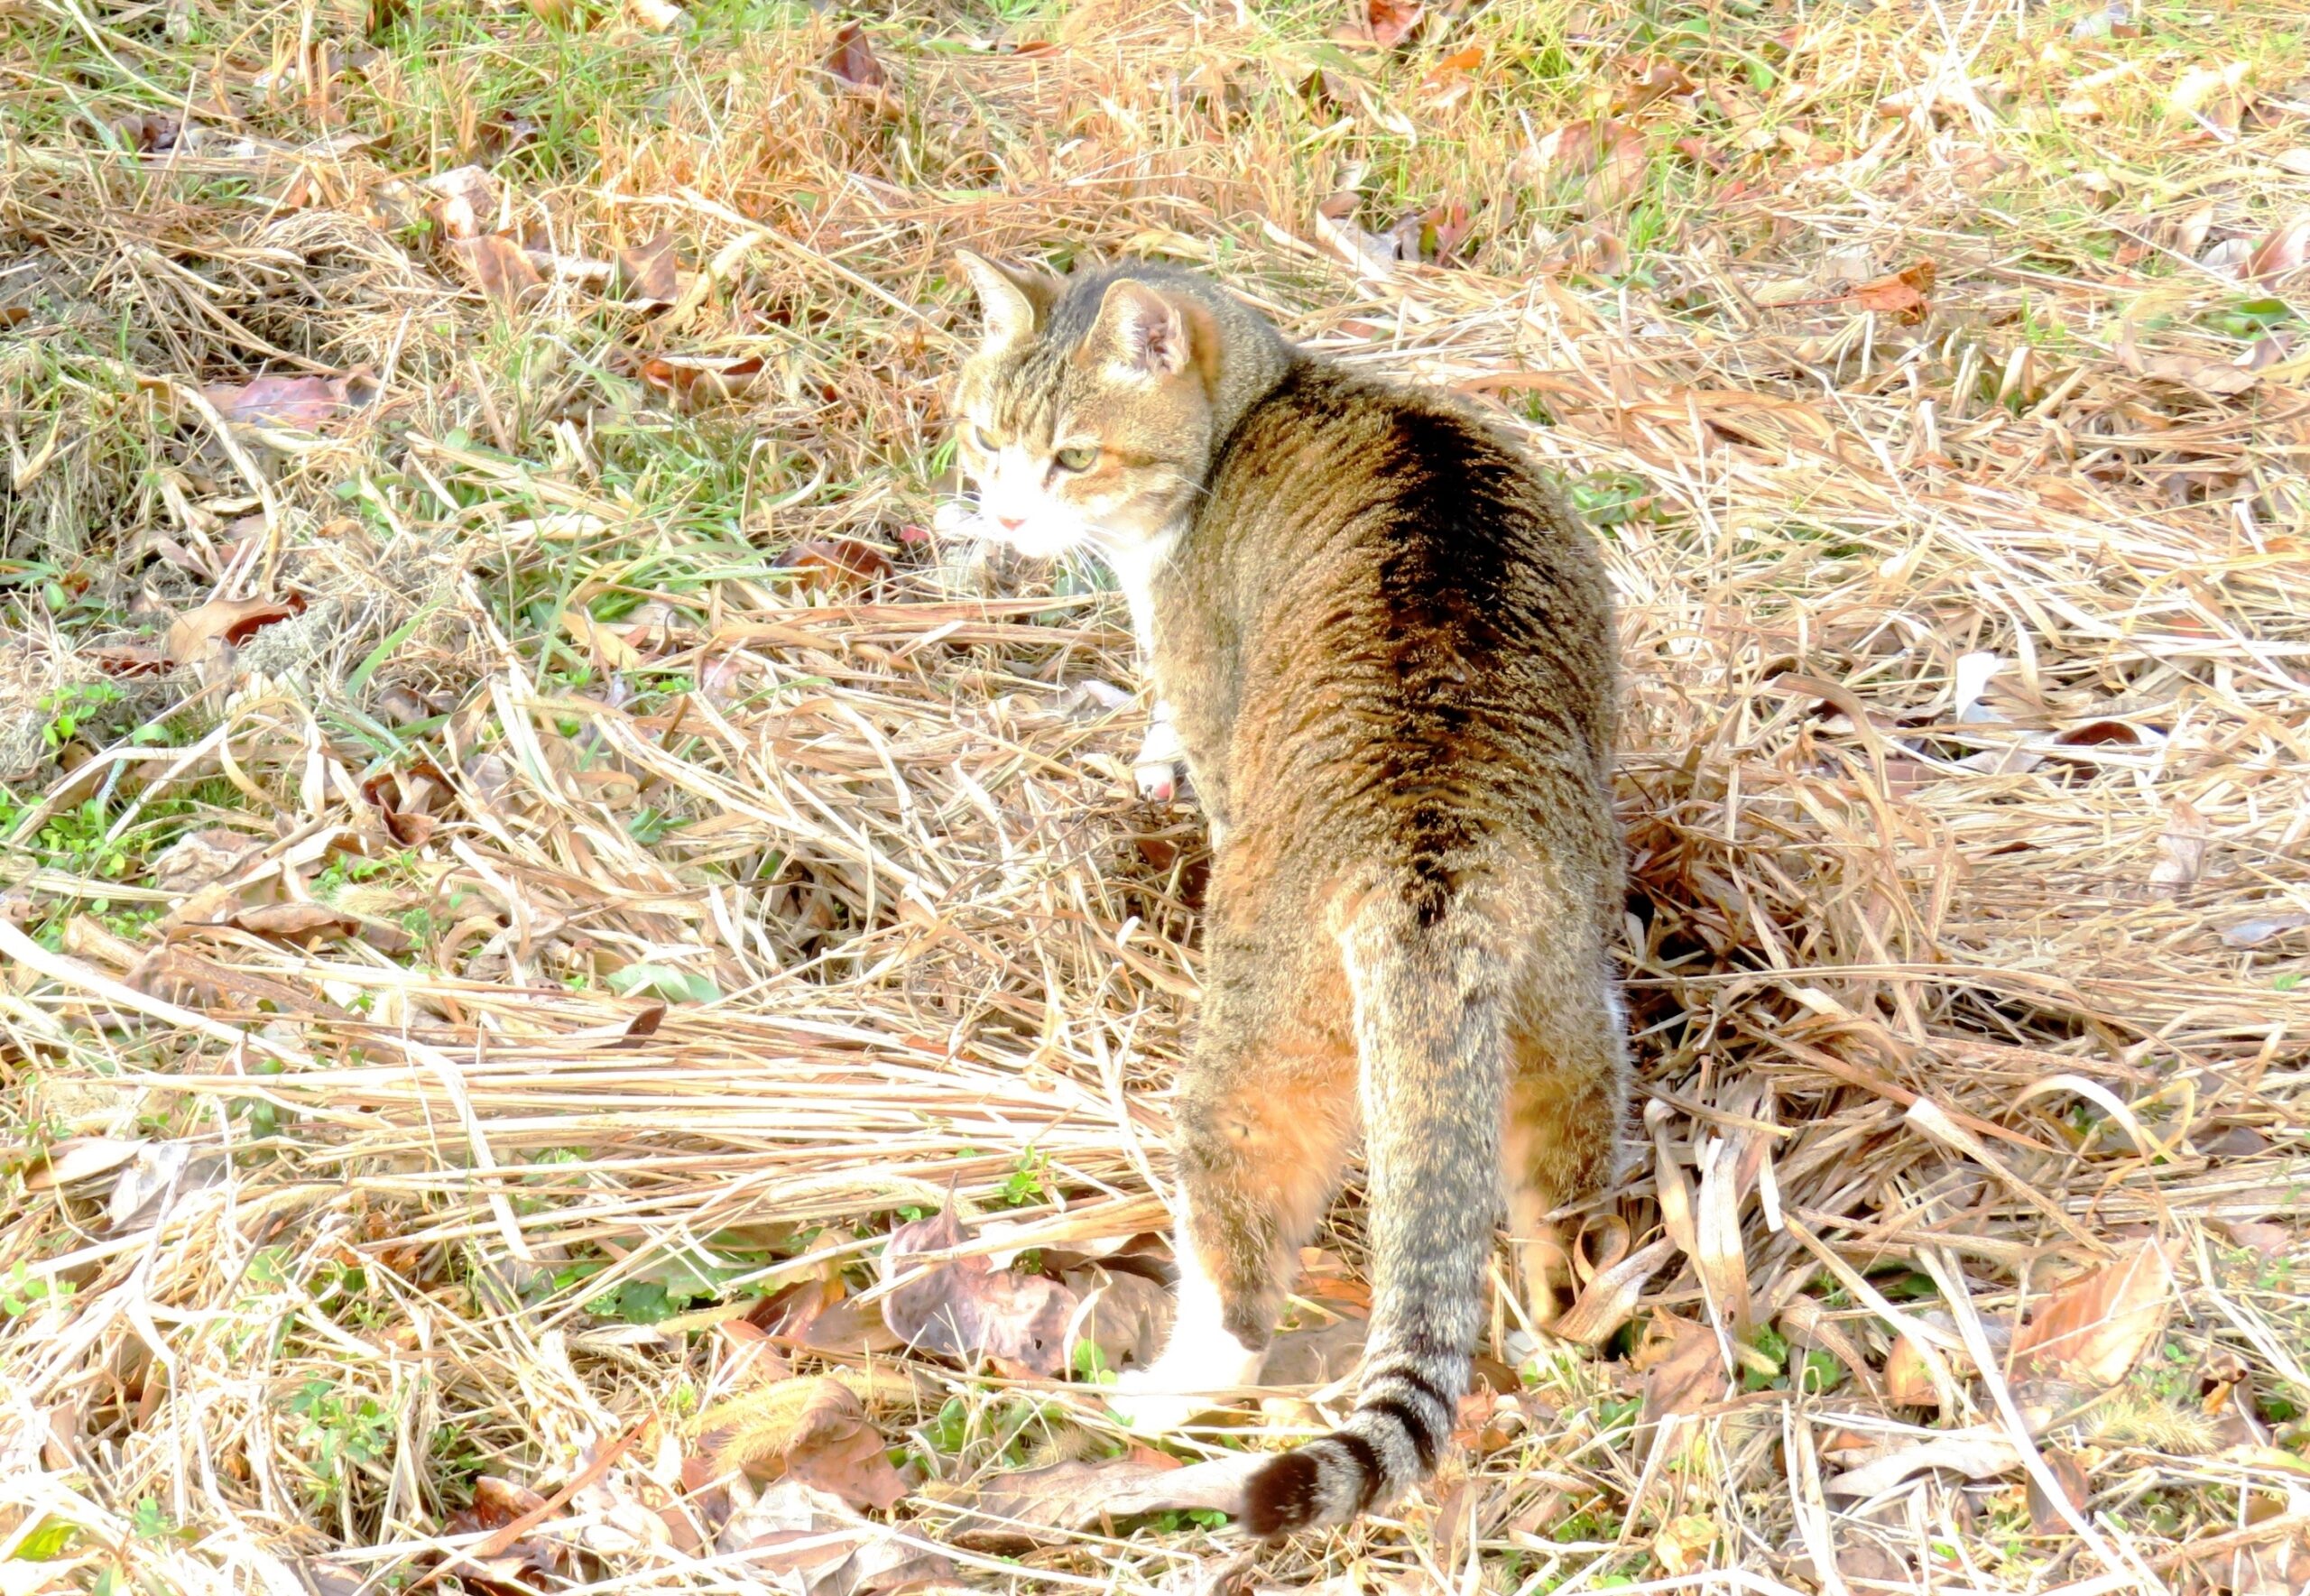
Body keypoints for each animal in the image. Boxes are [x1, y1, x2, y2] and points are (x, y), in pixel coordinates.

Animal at [942, 256, 1626, 1543]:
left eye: (1073, 456)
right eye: (985, 437)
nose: (1004, 517)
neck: (1274, 397)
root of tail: (1426, 860)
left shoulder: (1208, 690)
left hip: (1251, 1052)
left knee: (1240, 1263)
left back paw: (1162, 1399)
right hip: (1567, 1018)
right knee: (1563, 1210)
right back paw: (1565, 1328)